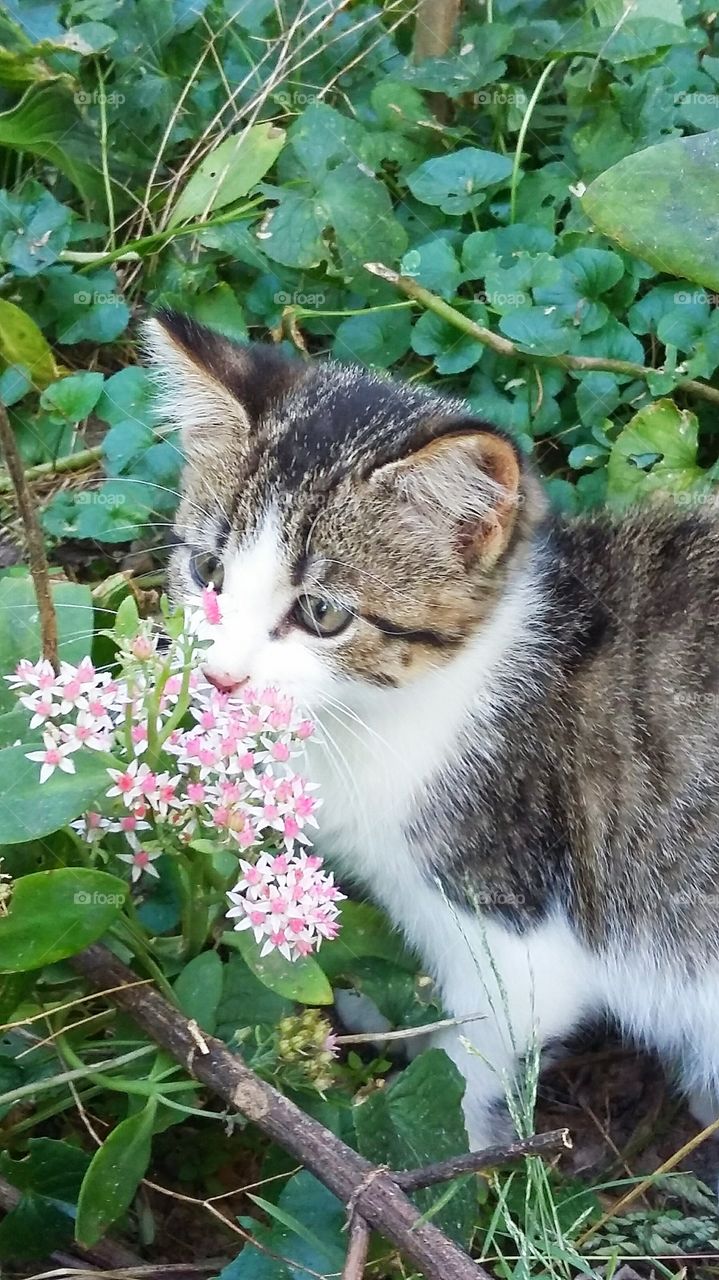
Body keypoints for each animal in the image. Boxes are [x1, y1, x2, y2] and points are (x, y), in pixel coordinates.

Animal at [142, 312, 716, 1152]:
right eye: (208, 572)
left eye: (321, 613)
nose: (220, 676)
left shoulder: (517, 933)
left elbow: (468, 1061)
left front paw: (452, 1154)